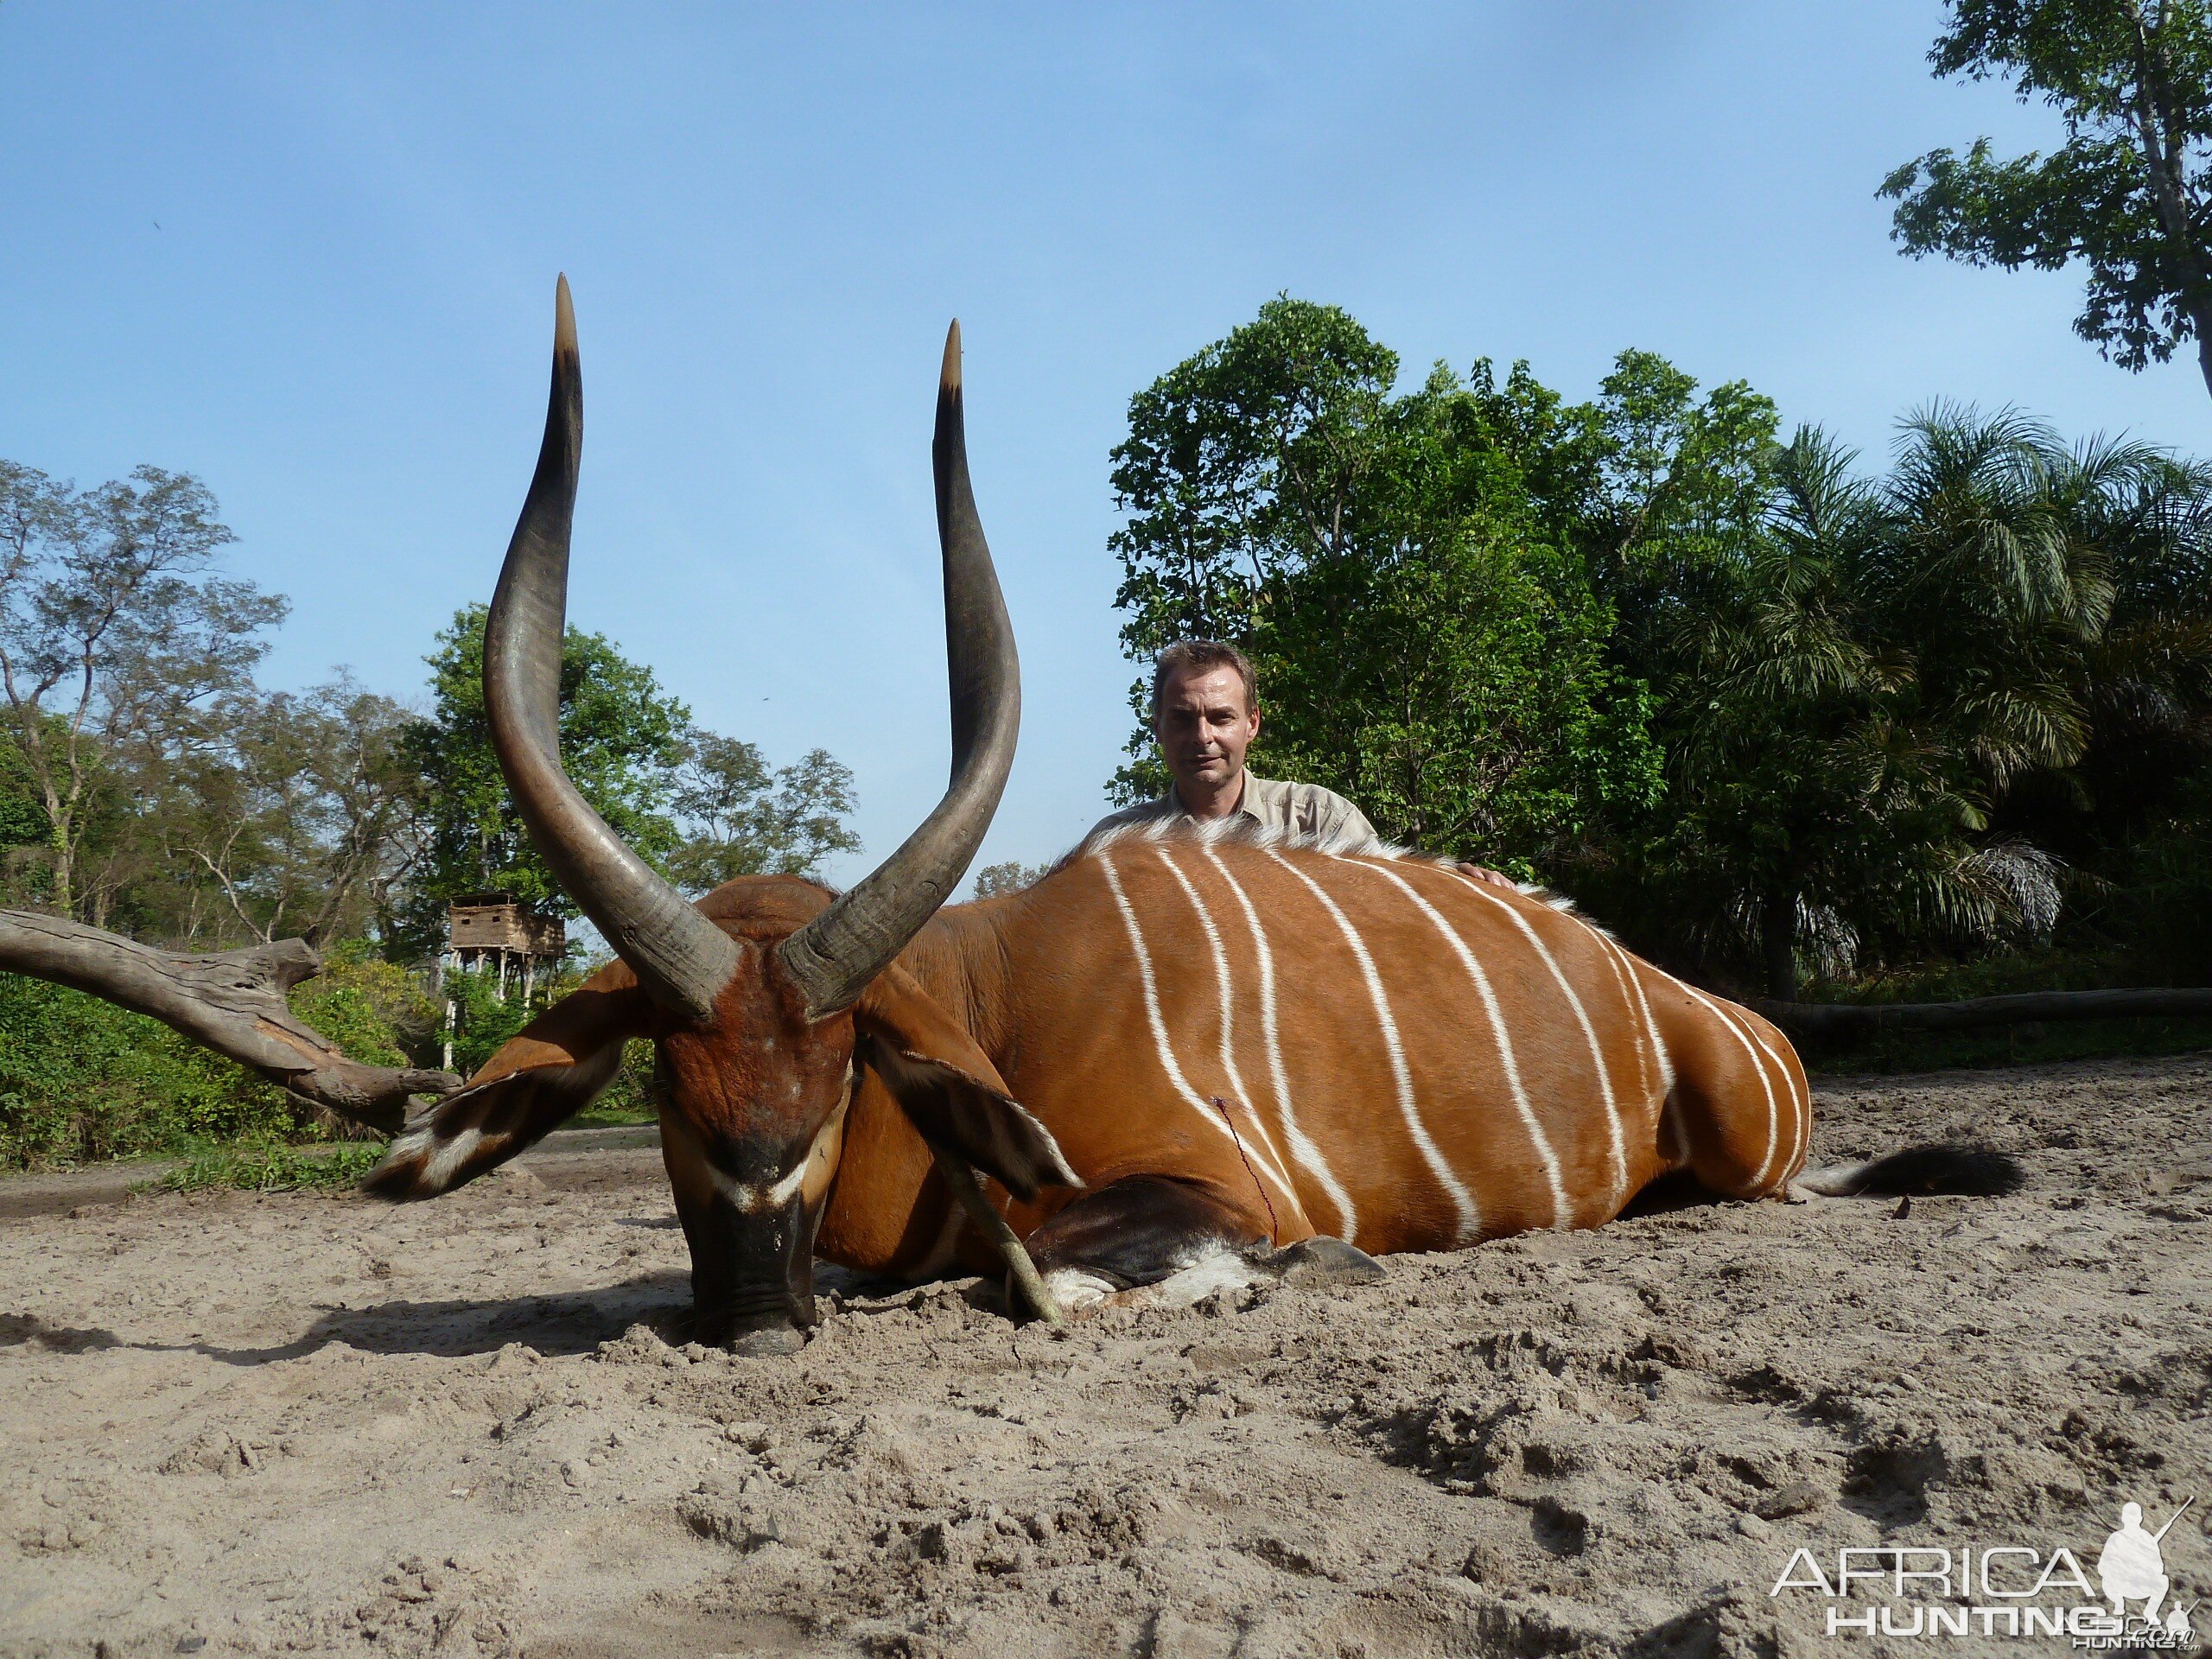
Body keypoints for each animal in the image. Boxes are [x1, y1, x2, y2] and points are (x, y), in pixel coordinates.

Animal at [366, 283, 2025, 1353]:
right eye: (666, 1080)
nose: (757, 1325)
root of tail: (1709, 1012)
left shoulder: (1209, 1182)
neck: (994, 989)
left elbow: (1034, 1274)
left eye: (841, 1079)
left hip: (1752, 1150)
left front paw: (1303, 1269)